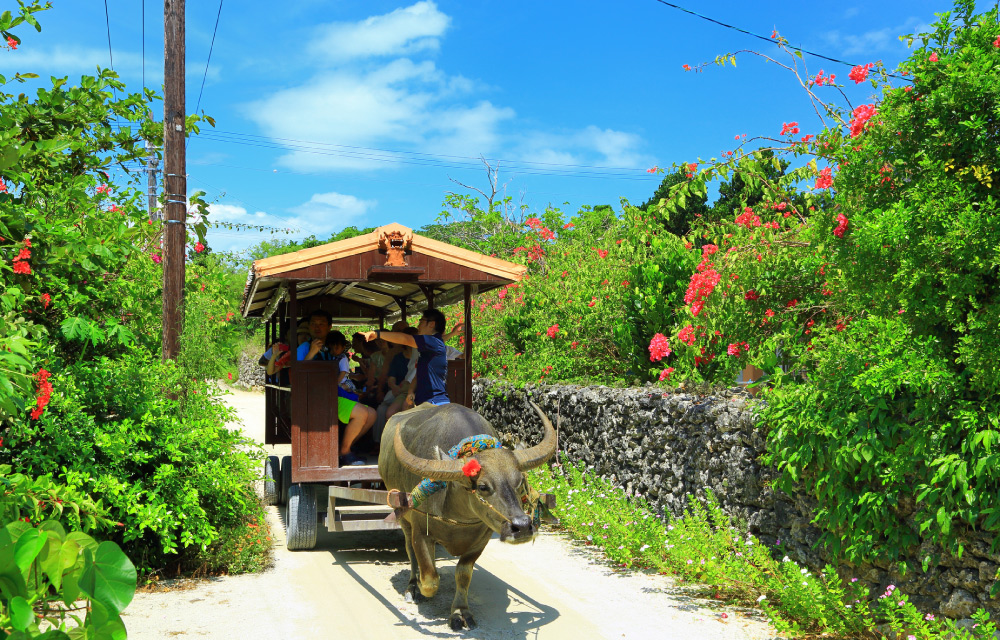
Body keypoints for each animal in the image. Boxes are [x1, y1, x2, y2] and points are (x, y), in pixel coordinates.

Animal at [378, 402, 560, 628]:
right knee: (410, 551)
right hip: (404, 518)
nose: (523, 526)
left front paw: (460, 612)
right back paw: (412, 586)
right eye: (482, 486)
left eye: (519, 482)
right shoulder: (421, 531)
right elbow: (430, 580)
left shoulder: (481, 539)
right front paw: (421, 586)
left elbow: (463, 574)